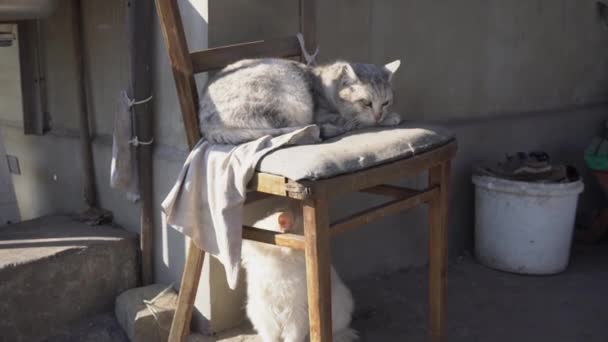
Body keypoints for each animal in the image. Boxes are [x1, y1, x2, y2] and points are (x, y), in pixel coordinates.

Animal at [197, 58, 402, 144]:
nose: (379, 115)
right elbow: (356, 121)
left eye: (386, 103)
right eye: (366, 103)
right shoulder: (323, 115)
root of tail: (207, 124)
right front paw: (390, 118)